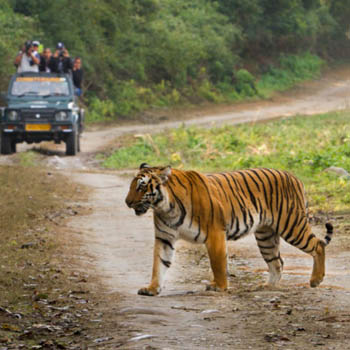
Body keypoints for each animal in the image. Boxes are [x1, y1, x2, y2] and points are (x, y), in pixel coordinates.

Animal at [125, 163, 334, 296]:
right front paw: (152, 288)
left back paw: (316, 280)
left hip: (292, 225)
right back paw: (267, 286)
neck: (165, 207)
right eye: (132, 186)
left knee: (318, 245)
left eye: (142, 187)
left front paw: (219, 286)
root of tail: (293, 176)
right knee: (277, 262)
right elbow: (159, 264)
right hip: (266, 236)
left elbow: (217, 263)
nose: (127, 202)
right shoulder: (164, 238)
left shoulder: (215, 233)